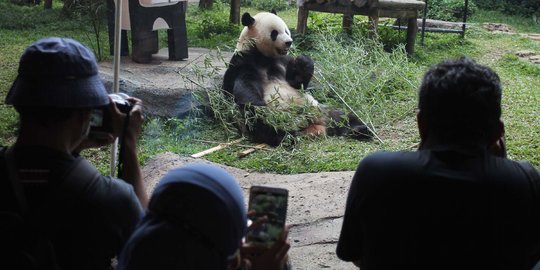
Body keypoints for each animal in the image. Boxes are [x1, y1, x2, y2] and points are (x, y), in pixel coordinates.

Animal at [220, 11, 372, 146]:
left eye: (286, 31)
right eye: (274, 33)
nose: (289, 42)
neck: (263, 56)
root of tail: (312, 126)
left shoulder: (283, 61)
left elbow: (297, 83)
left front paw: (303, 62)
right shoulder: (243, 63)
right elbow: (247, 94)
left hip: (320, 109)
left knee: (342, 116)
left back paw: (361, 130)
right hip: (280, 117)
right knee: (265, 123)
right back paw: (286, 136)